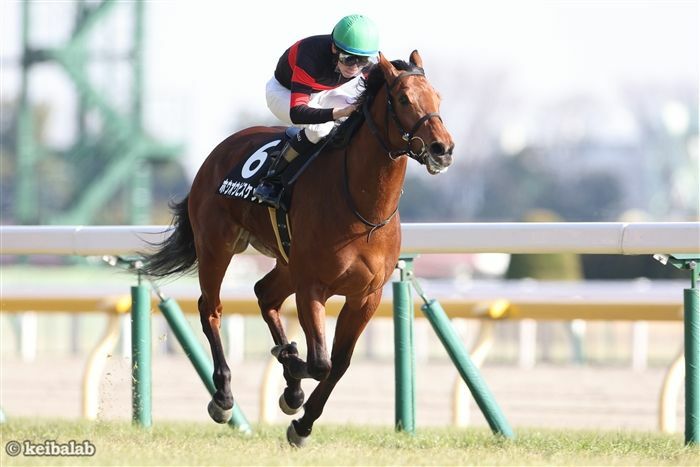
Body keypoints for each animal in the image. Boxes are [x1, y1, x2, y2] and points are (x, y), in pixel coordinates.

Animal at [145, 51, 456, 446]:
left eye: (438, 98)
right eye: (403, 99)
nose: (443, 149)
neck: (363, 209)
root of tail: (217, 152)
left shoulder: (366, 296)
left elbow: (338, 364)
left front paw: (302, 419)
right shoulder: (313, 287)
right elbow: (320, 360)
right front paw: (293, 366)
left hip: (285, 261)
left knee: (264, 294)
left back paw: (289, 384)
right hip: (216, 245)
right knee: (210, 309)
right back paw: (225, 396)